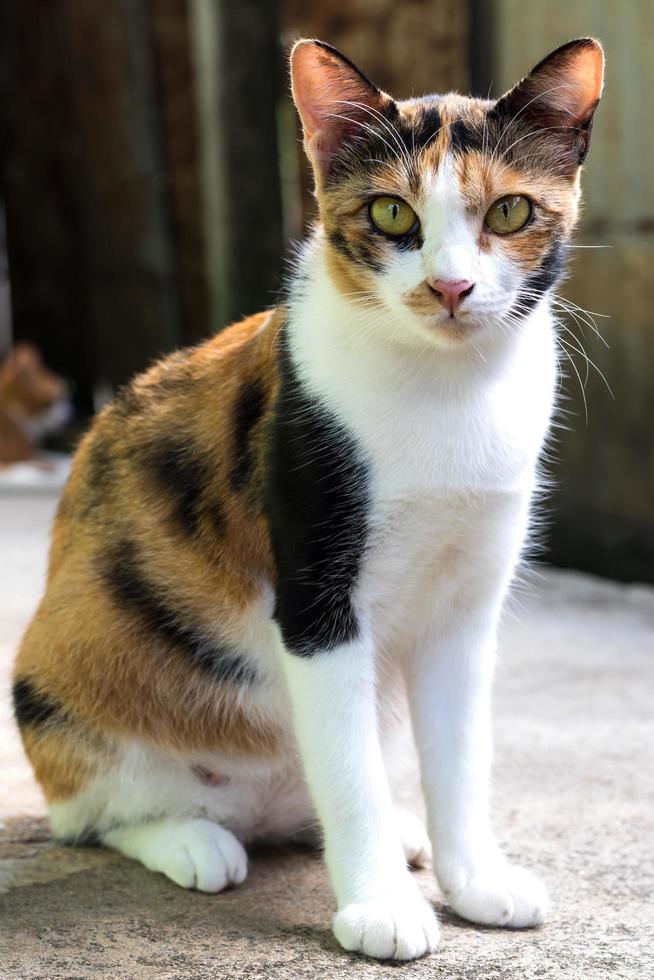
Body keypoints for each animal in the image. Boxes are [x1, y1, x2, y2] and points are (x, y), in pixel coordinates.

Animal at [12, 36, 604, 956]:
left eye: (509, 213)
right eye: (392, 214)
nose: (451, 288)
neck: (445, 394)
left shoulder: (467, 605)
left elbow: (462, 756)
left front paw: (476, 881)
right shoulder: (317, 593)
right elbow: (350, 771)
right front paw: (381, 909)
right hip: (68, 662)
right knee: (98, 812)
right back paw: (192, 840)